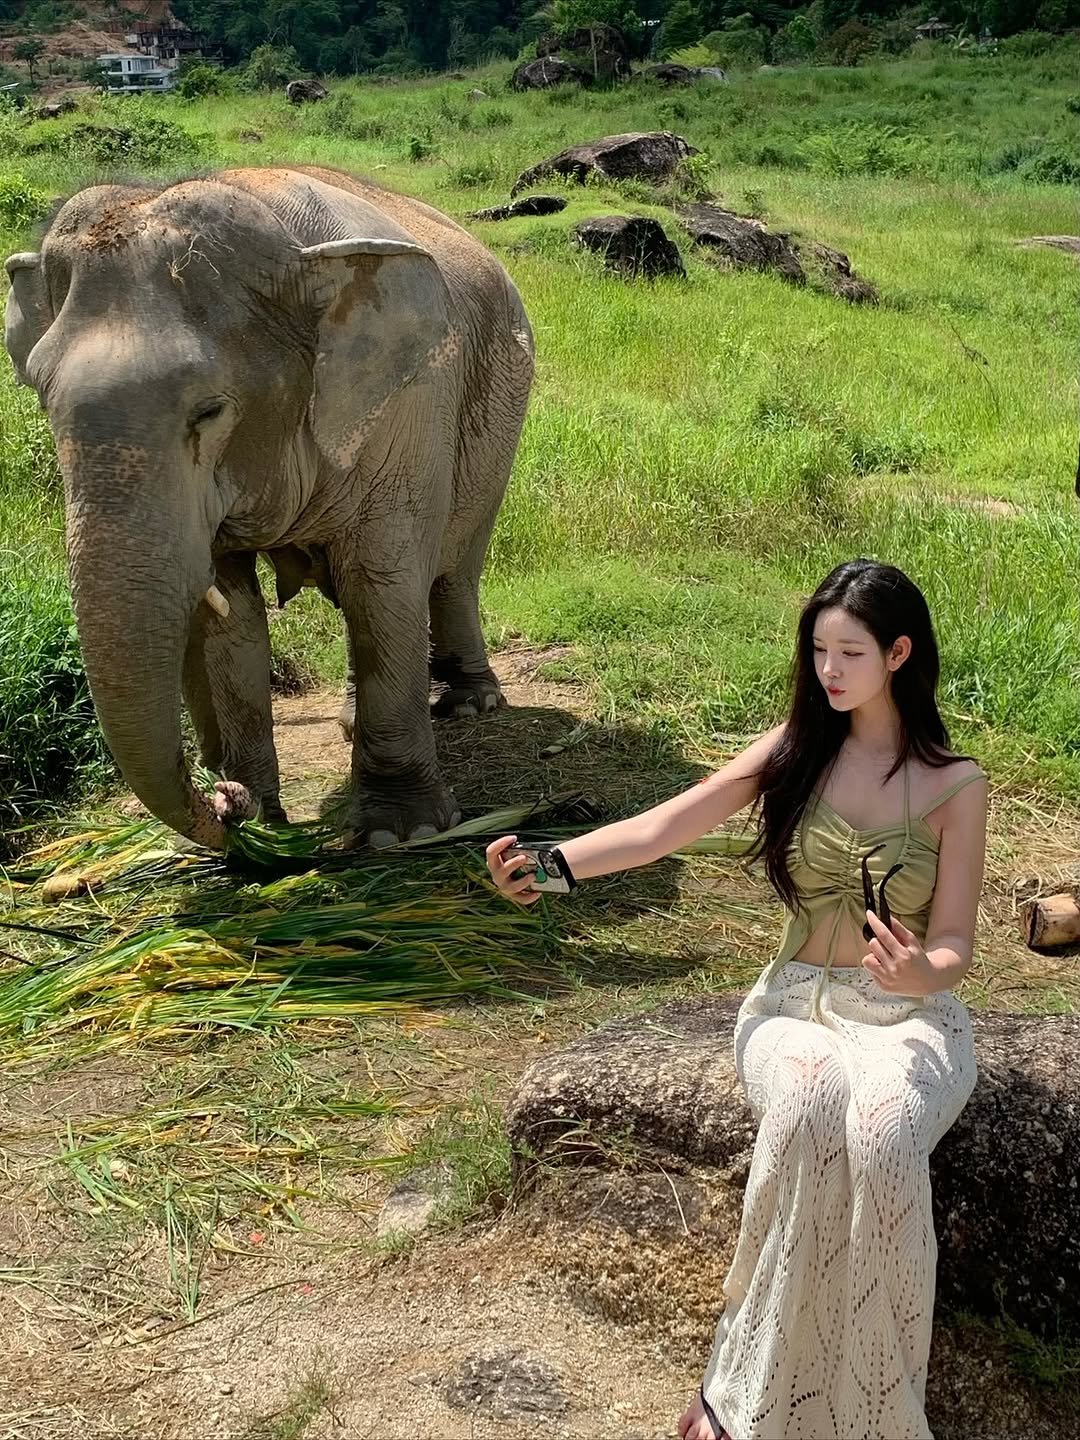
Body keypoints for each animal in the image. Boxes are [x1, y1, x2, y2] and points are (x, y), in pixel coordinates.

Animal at [3, 166, 534, 849]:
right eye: (43, 399)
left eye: (209, 410)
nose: (223, 799)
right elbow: (233, 614)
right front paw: (261, 821)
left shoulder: (409, 406)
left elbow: (382, 582)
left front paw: (400, 834)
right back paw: (344, 725)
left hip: (501, 406)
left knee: (452, 567)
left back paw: (470, 702)